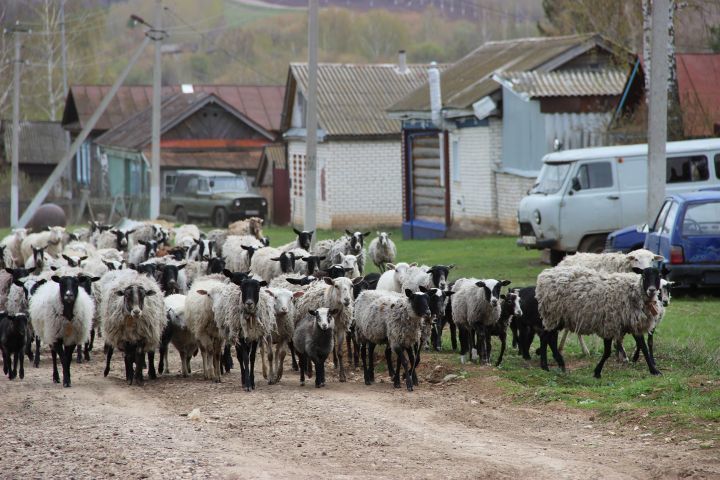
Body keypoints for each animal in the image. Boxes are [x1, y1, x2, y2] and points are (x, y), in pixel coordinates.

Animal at [536, 266, 664, 378]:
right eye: (644, 275)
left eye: (659, 275)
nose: (652, 290)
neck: (634, 293)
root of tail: (545, 274)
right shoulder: (609, 324)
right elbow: (607, 352)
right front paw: (597, 372)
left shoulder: (633, 324)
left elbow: (644, 347)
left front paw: (654, 370)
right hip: (553, 314)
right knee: (545, 337)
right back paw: (546, 366)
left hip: (559, 318)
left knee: (550, 339)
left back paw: (558, 364)